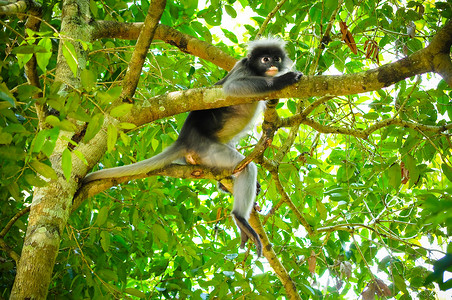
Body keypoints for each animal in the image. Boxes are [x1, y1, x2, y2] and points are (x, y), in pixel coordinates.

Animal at [85, 37, 304, 256]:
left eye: (276, 58)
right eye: (265, 59)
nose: (273, 65)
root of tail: (184, 139)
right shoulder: (242, 69)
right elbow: (232, 88)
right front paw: (283, 80)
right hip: (208, 150)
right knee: (247, 167)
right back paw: (240, 218)